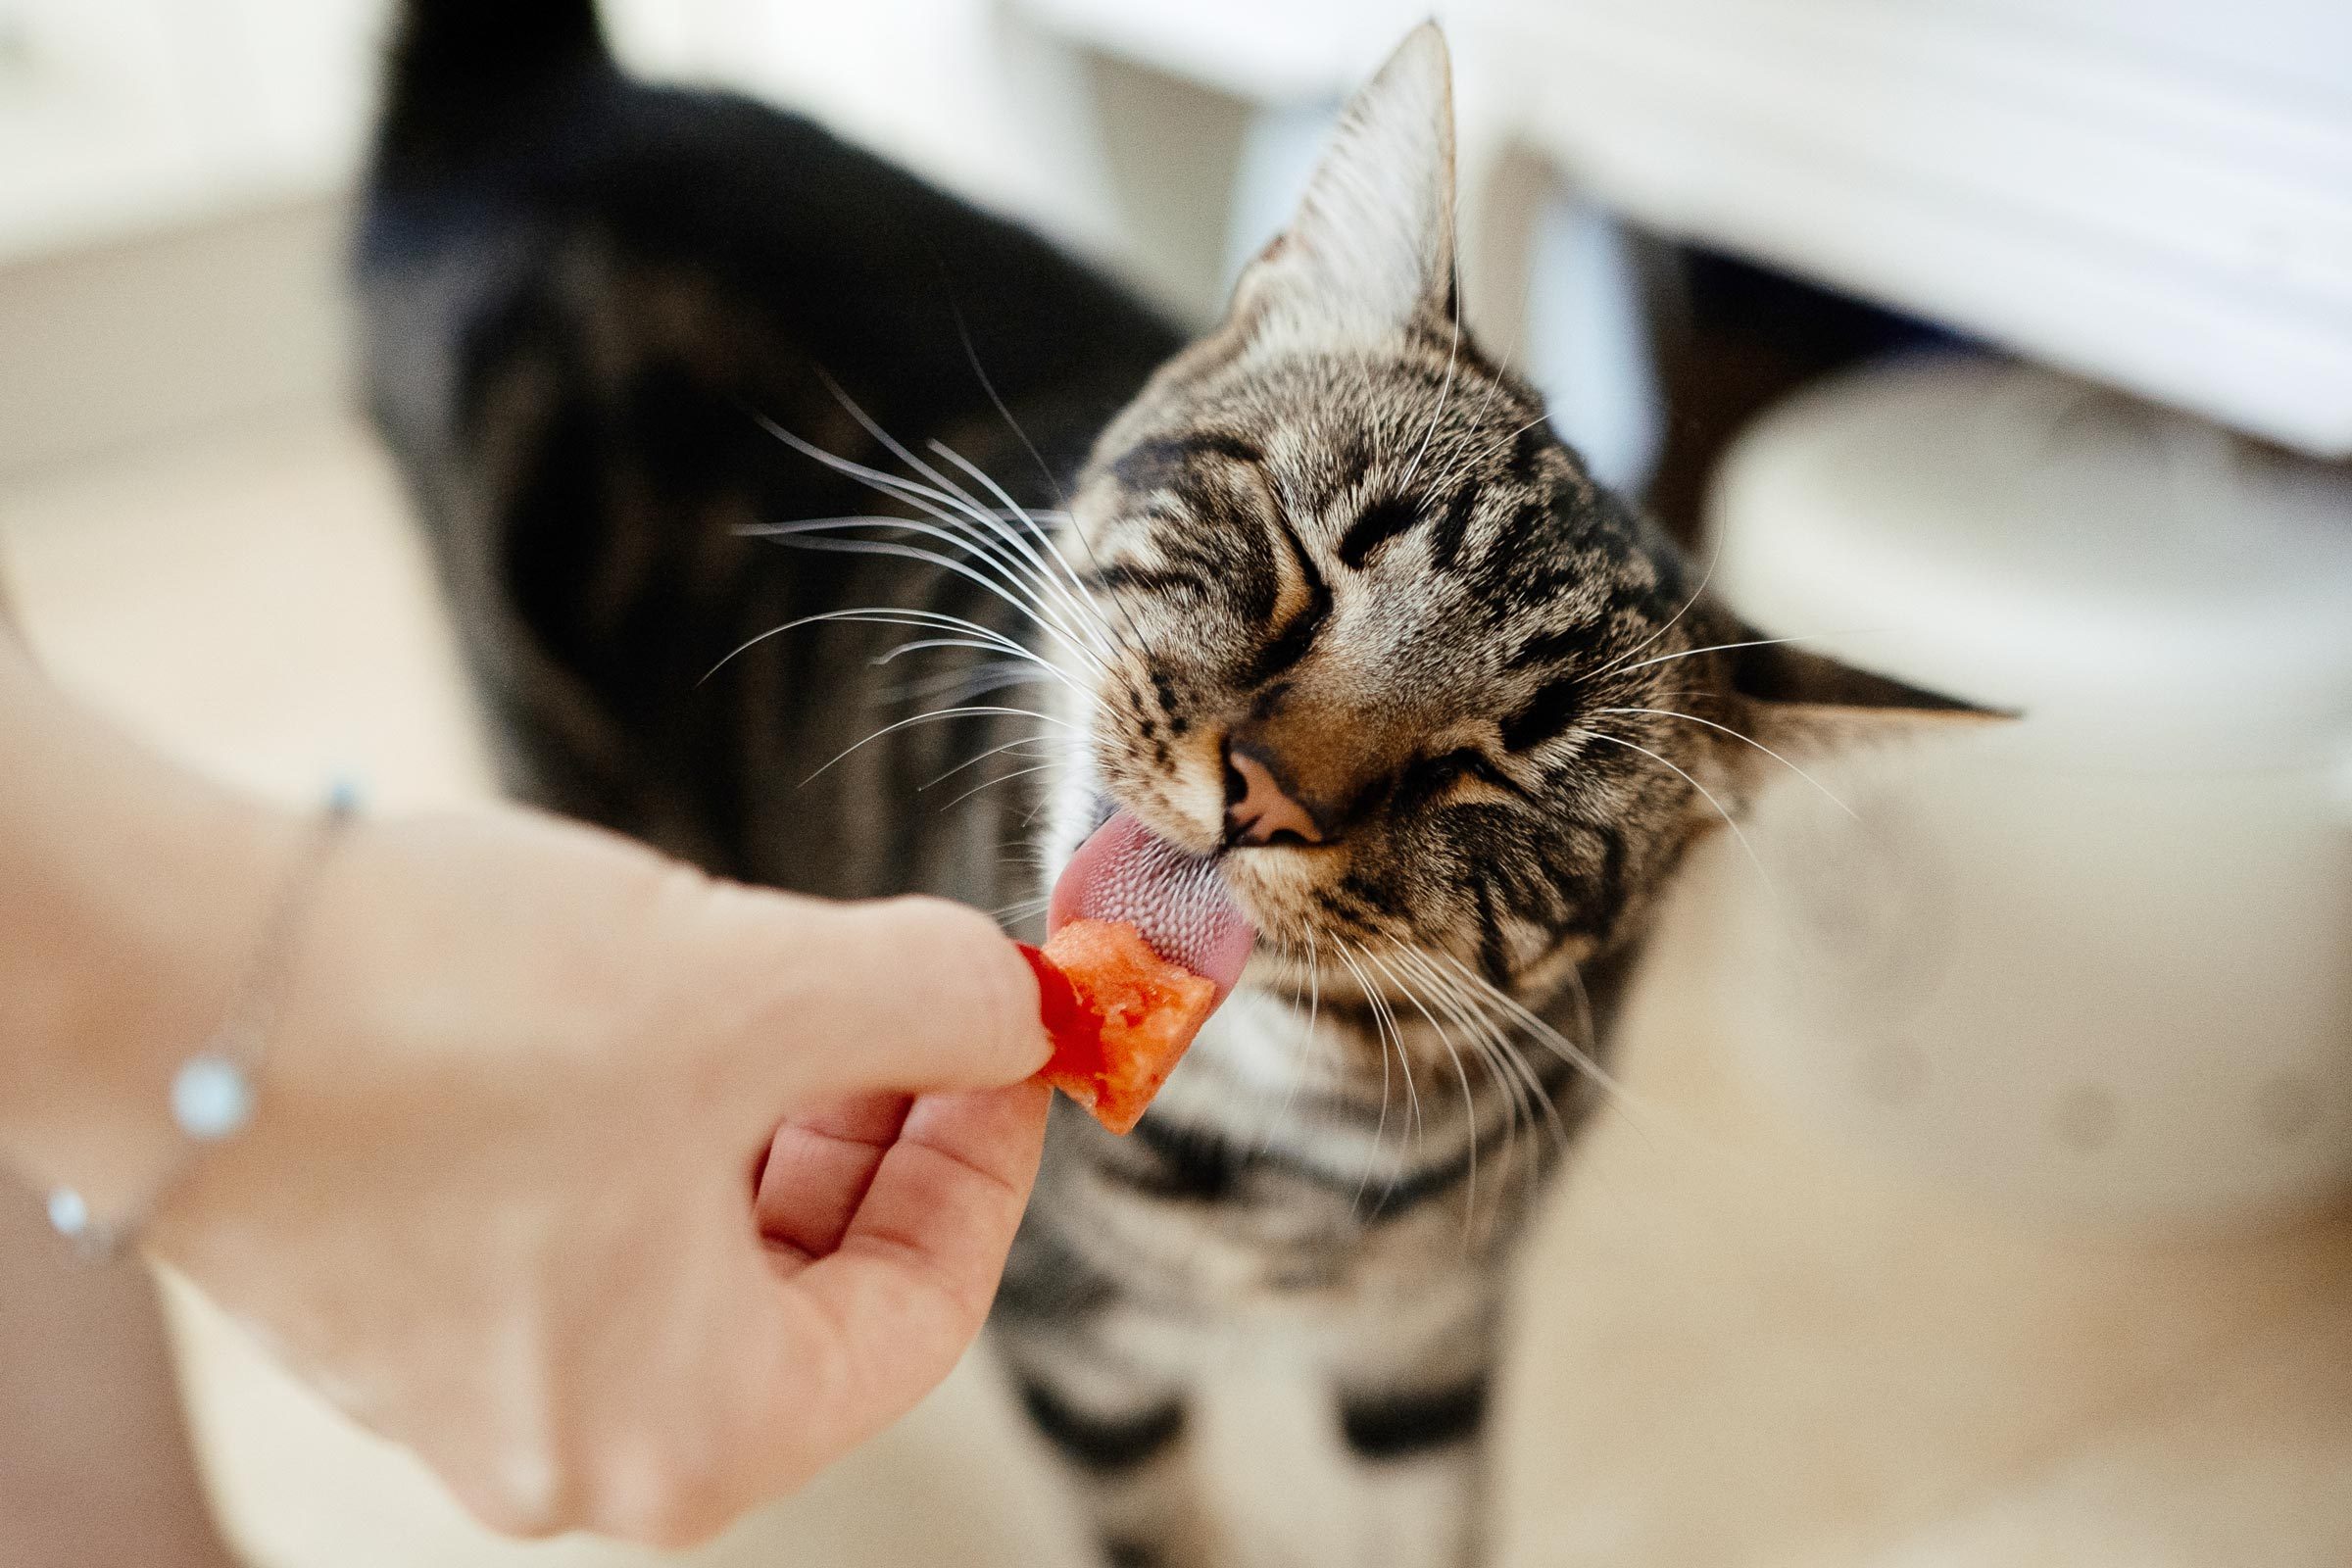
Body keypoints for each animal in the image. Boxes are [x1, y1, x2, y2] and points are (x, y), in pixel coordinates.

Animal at [362, 6, 1984, 1560]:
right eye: (1305, 560)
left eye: (1497, 767)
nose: (1262, 793)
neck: (1280, 1160)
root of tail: (557, 105)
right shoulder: (1086, 1366)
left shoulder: (1431, 1350)